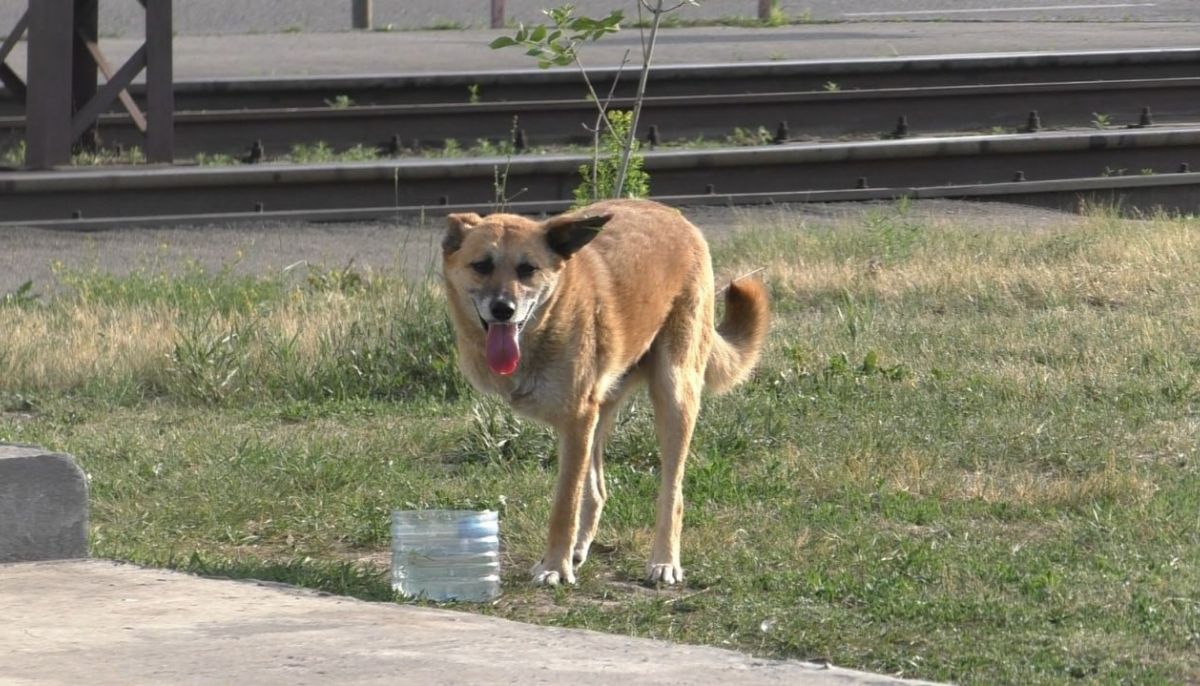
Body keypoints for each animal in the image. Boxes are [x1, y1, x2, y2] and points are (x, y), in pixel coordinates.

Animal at [441, 197, 768, 585]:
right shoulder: (582, 421)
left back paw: (664, 560)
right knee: (597, 490)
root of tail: (674, 215)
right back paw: (581, 549)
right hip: (602, 411)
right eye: (481, 265)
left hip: (674, 394)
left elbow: (564, 505)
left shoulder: (576, 422)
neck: (548, 322)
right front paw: (560, 559)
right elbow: (580, 494)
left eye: (527, 269)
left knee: (671, 494)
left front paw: (554, 567)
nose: (503, 309)